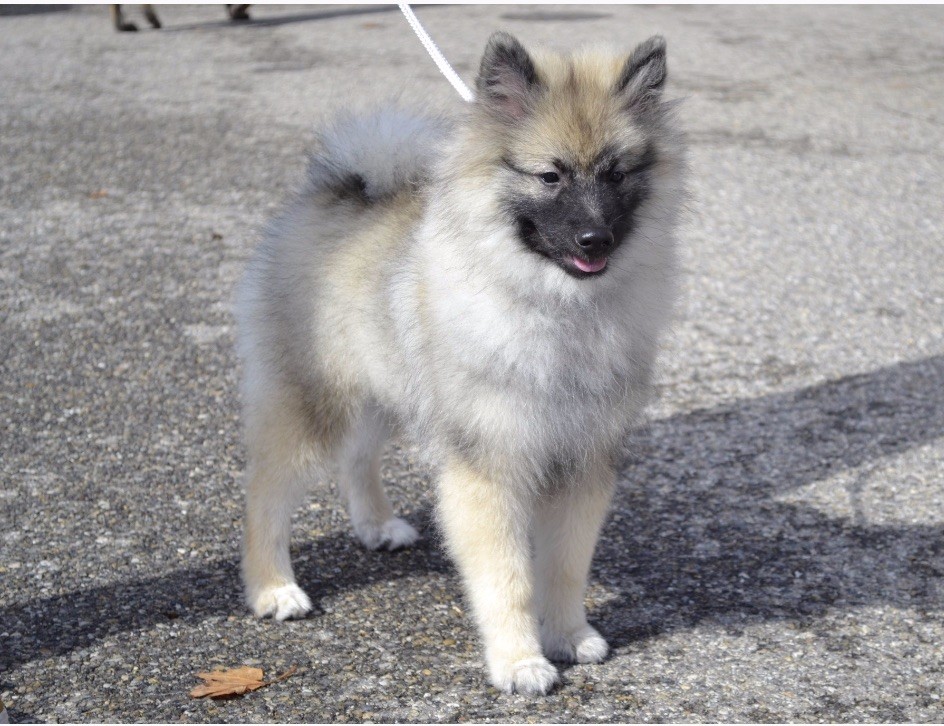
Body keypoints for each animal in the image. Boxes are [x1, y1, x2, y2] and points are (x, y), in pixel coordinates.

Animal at [236, 31, 684, 696]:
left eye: (616, 174)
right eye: (550, 176)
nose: (595, 240)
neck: (557, 309)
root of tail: (340, 189)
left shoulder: (582, 462)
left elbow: (565, 566)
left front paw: (568, 635)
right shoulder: (490, 465)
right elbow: (509, 578)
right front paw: (520, 661)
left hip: (388, 390)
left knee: (357, 458)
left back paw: (377, 525)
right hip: (318, 402)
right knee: (267, 490)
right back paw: (273, 588)